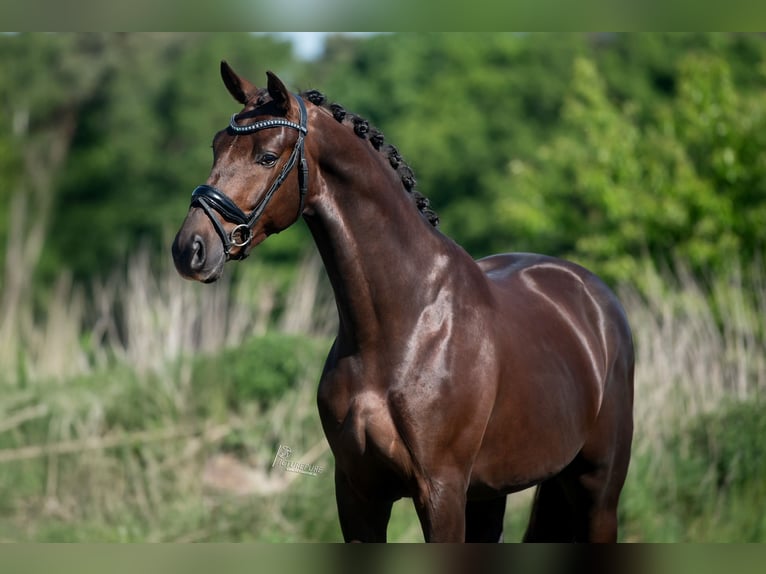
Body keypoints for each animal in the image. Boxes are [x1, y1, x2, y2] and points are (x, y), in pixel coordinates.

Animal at [172, 62, 634, 542]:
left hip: (598, 492)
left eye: (266, 156)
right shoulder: (358, 493)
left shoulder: (441, 492)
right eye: (216, 146)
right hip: (490, 494)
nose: (190, 249)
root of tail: (595, 298)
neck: (401, 327)